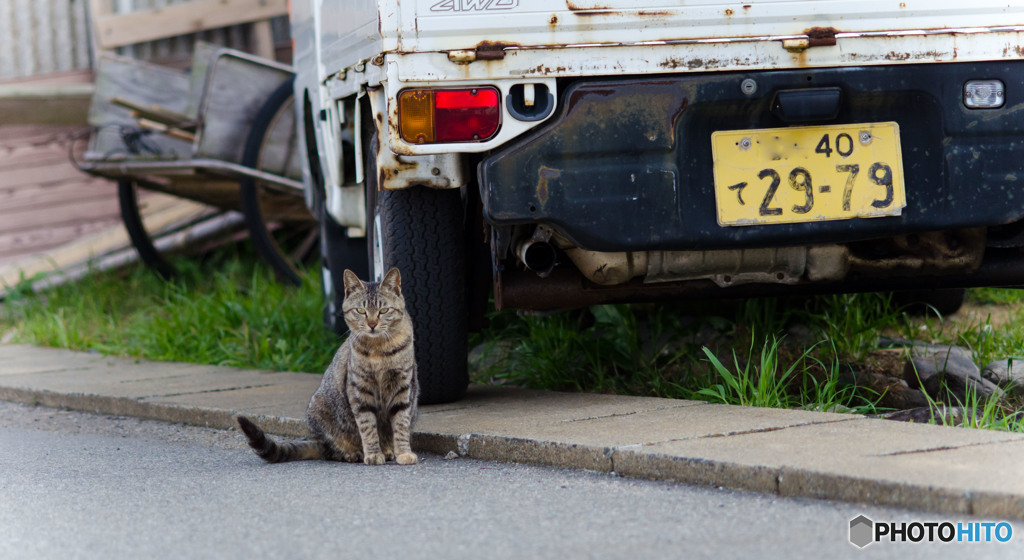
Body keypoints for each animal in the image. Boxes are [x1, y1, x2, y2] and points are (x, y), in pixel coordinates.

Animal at [236, 268, 419, 464]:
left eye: (383, 310)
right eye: (361, 310)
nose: (371, 324)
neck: (379, 350)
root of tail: (317, 442)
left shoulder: (403, 387)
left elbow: (400, 424)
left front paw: (403, 453)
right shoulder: (359, 391)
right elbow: (368, 427)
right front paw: (373, 454)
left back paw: (387, 450)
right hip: (320, 412)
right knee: (332, 450)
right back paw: (353, 453)